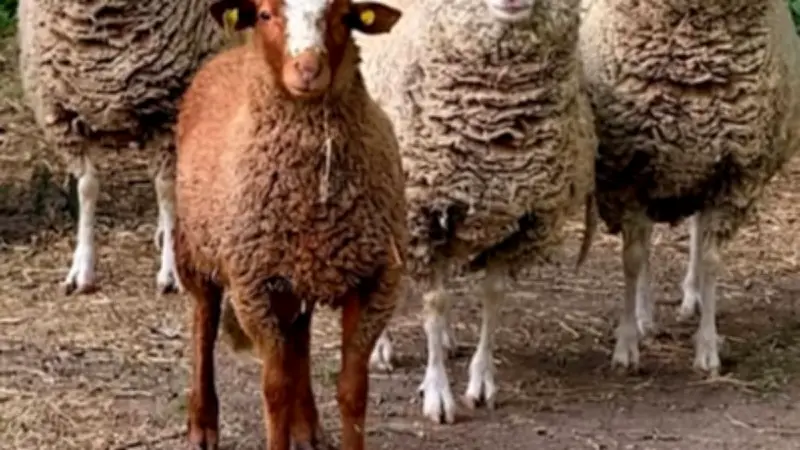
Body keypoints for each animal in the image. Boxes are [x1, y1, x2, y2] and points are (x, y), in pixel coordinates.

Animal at [16, 0, 225, 294]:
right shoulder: (63, 115)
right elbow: (87, 189)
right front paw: (81, 269)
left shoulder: (169, 114)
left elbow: (166, 192)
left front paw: (171, 270)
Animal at [173, 0, 406, 448]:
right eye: (266, 14)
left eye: (344, 15)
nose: (308, 68)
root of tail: (232, 53)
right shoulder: (254, 286)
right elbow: (275, 389)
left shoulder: (373, 280)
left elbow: (353, 389)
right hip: (197, 251)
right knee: (203, 326)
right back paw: (203, 424)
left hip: (300, 274)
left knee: (299, 338)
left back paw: (307, 425)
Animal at [361, 0, 598, 424]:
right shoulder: (422, 216)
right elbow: (435, 302)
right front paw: (437, 392)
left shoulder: (520, 223)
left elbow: (493, 295)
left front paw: (482, 381)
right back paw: (380, 347)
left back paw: (446, 339)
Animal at [579, 0, 800, 375]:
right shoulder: (629, 171)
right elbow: (632, 259)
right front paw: (627, 344)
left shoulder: (731, 176)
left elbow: (711, 260)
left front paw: (708, 348)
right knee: (646, 243)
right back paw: (645, 315)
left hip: (700, 169)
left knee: (695, 232)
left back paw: (691, 297)